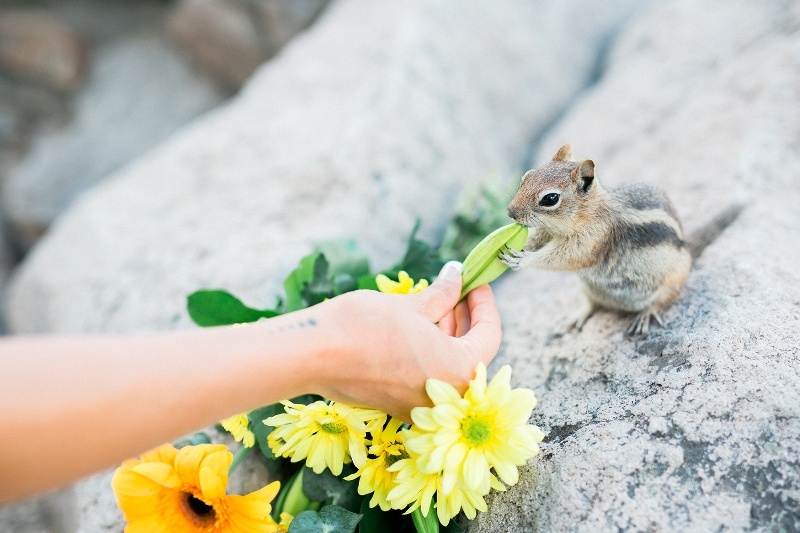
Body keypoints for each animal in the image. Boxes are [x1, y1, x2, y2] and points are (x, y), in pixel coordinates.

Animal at [504, 141, 692, 332]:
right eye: (526, 177)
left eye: (550, 198)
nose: (511, 212)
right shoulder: (547, 231)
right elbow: (537, 240)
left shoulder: (595, 238)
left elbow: (567, 256)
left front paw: (523, 259)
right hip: (588, 288)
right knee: (593, 304)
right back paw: (577, 316)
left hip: (674, 279)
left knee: (664, 300)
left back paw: (645, 315)